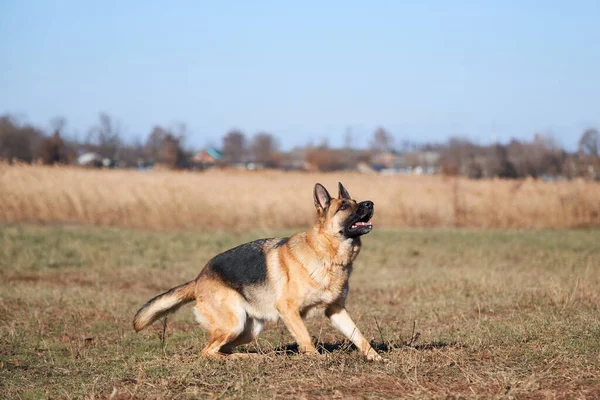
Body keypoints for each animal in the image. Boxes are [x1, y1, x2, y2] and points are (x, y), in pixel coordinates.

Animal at [134, 183, 382, 360]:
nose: (370, 203)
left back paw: (251, 356)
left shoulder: (336, 310)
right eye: (344, 207)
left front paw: (375, 357)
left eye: (356, 201)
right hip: (234, 323)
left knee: (223, 349)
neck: (325, 253)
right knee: (208, 352)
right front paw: (316, 358)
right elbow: (306, 338)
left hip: (248, 330)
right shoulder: (288, 309)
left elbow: (359, 336)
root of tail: (198, 279)